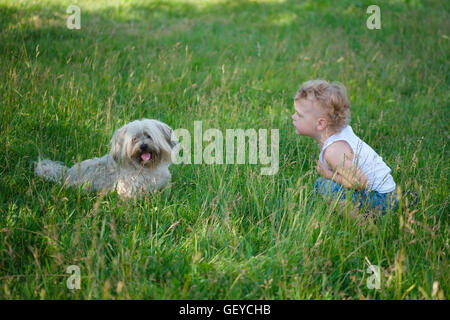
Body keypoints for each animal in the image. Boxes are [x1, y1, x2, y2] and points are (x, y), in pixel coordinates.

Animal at [34, 119, 178, 196]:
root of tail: (66, 174)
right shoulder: (128, 190)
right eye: (134, 139)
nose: (143, 146)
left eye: (148, 136)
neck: (146, 167)